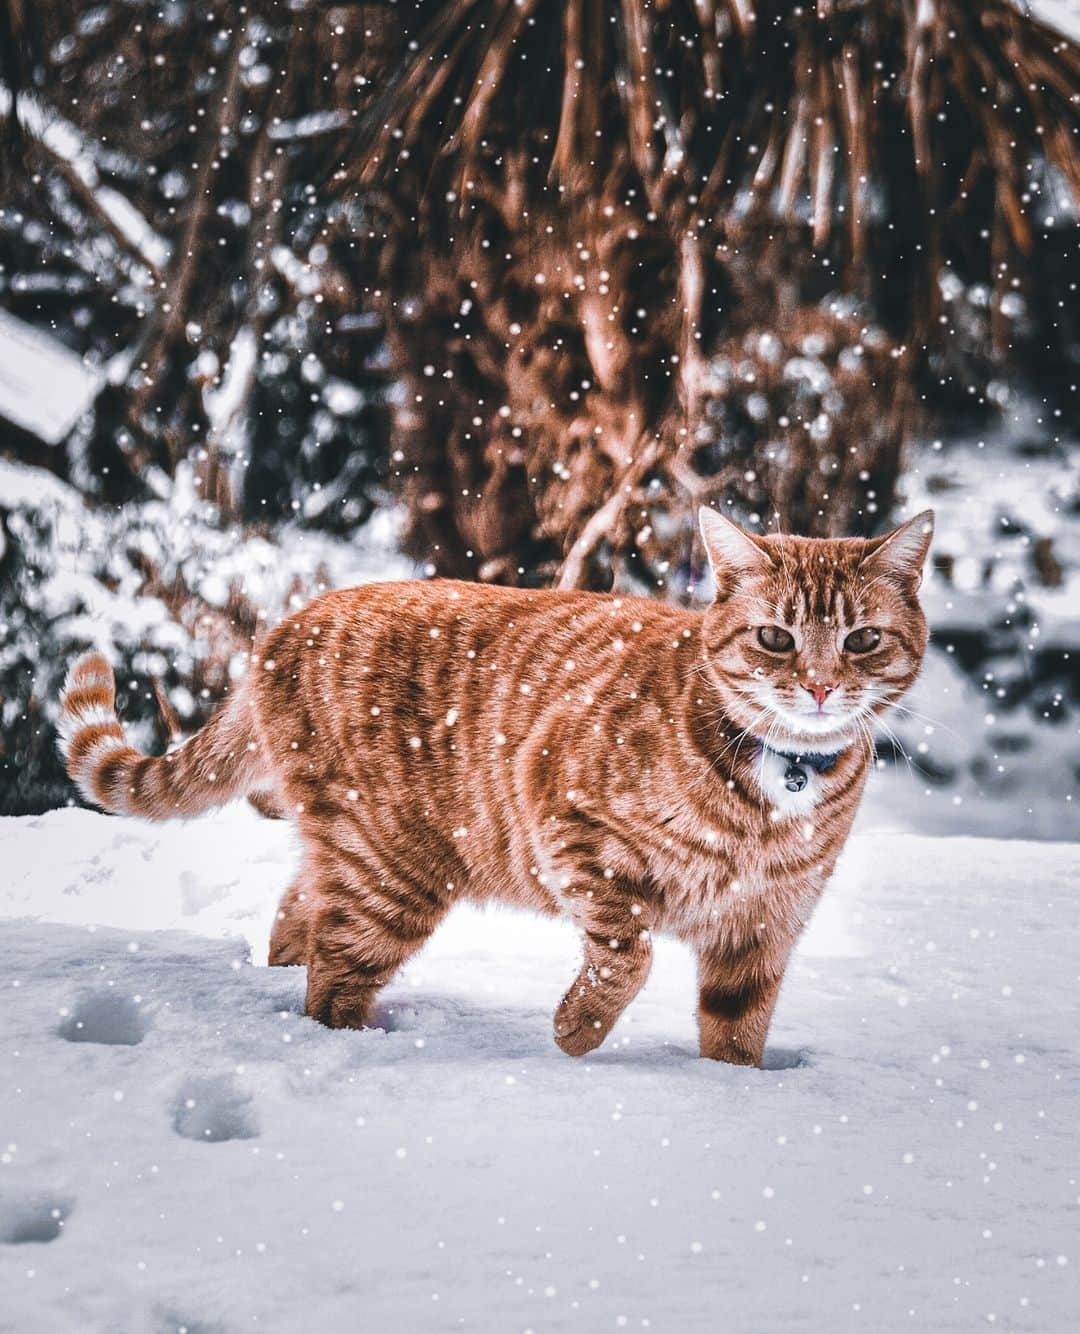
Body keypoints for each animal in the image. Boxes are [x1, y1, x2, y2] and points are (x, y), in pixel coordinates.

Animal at [61, 506, 928, 1061]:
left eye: (863, 640)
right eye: (776, 638)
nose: (819, 686)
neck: (777, 790)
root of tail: (284, 625)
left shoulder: (762, 930)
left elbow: (737, 1035)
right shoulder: (571, 829)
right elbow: (627, 958)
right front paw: (575, 1032)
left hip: (358, 856)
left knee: (295, 913)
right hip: (393, 872)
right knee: (332, 975)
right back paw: (354, 1048)